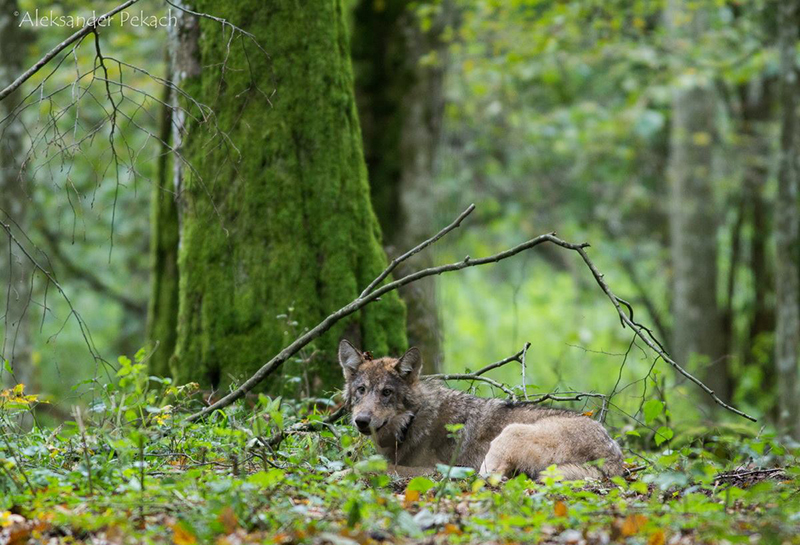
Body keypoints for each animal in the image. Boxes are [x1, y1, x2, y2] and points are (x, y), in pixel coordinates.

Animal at [338, 340, 624, 480]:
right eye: (361, 390)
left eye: (386, 392)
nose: (361, 420)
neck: (412, 421)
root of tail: (614, 458)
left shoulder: (432, 469)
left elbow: (371, 466)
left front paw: (342, 473)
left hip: (507, 436)